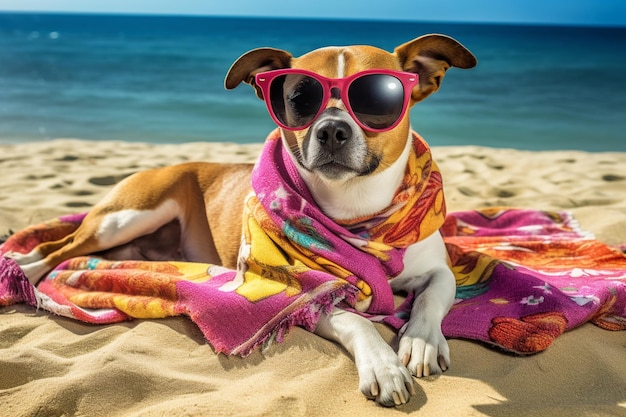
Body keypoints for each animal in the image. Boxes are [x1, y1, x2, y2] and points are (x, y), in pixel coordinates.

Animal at [9, 35, 476, 406]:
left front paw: (420, 341)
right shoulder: (298, 291)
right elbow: (354, 318)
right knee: (55, 248)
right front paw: (383, 364)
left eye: (378, 98)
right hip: (130, 214)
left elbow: (433, 296)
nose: (331, 130)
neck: (358, 215)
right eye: (298, 99)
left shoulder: (440, 268)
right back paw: (23, 272)